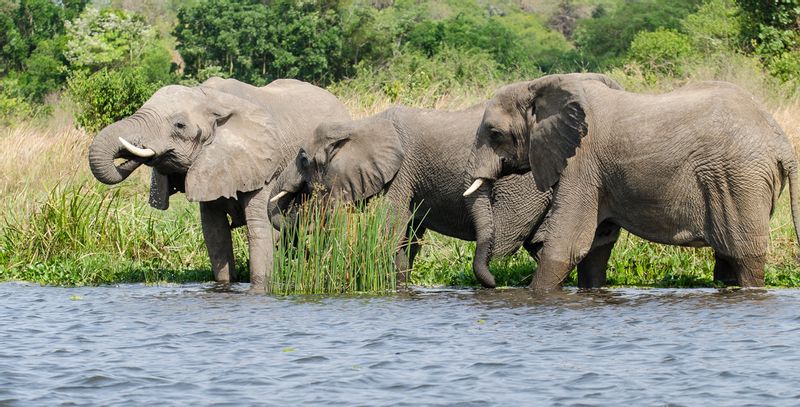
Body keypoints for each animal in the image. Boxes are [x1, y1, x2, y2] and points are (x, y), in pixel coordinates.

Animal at [86, 78, 350, 292]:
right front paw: (224, 286)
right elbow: (214, 232)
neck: (211, 100)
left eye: (179, 125)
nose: (134, 153)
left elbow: (260, 228)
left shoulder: (266, 166)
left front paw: (261, 287)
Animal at [272, 105, 552, 290]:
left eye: (303, 158)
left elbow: (390, 228)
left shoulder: (400, 173)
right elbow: (408, 236)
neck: (362, 125)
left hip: (523, 187)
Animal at [466, 73, 796, 294]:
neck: (541, 86)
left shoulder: (581, 162)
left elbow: (568, 243)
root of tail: (781, 142)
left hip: (739, 179)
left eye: (495, 134)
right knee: (726, 258)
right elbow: (597, 244)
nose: (495, 283)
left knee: (744, 256)